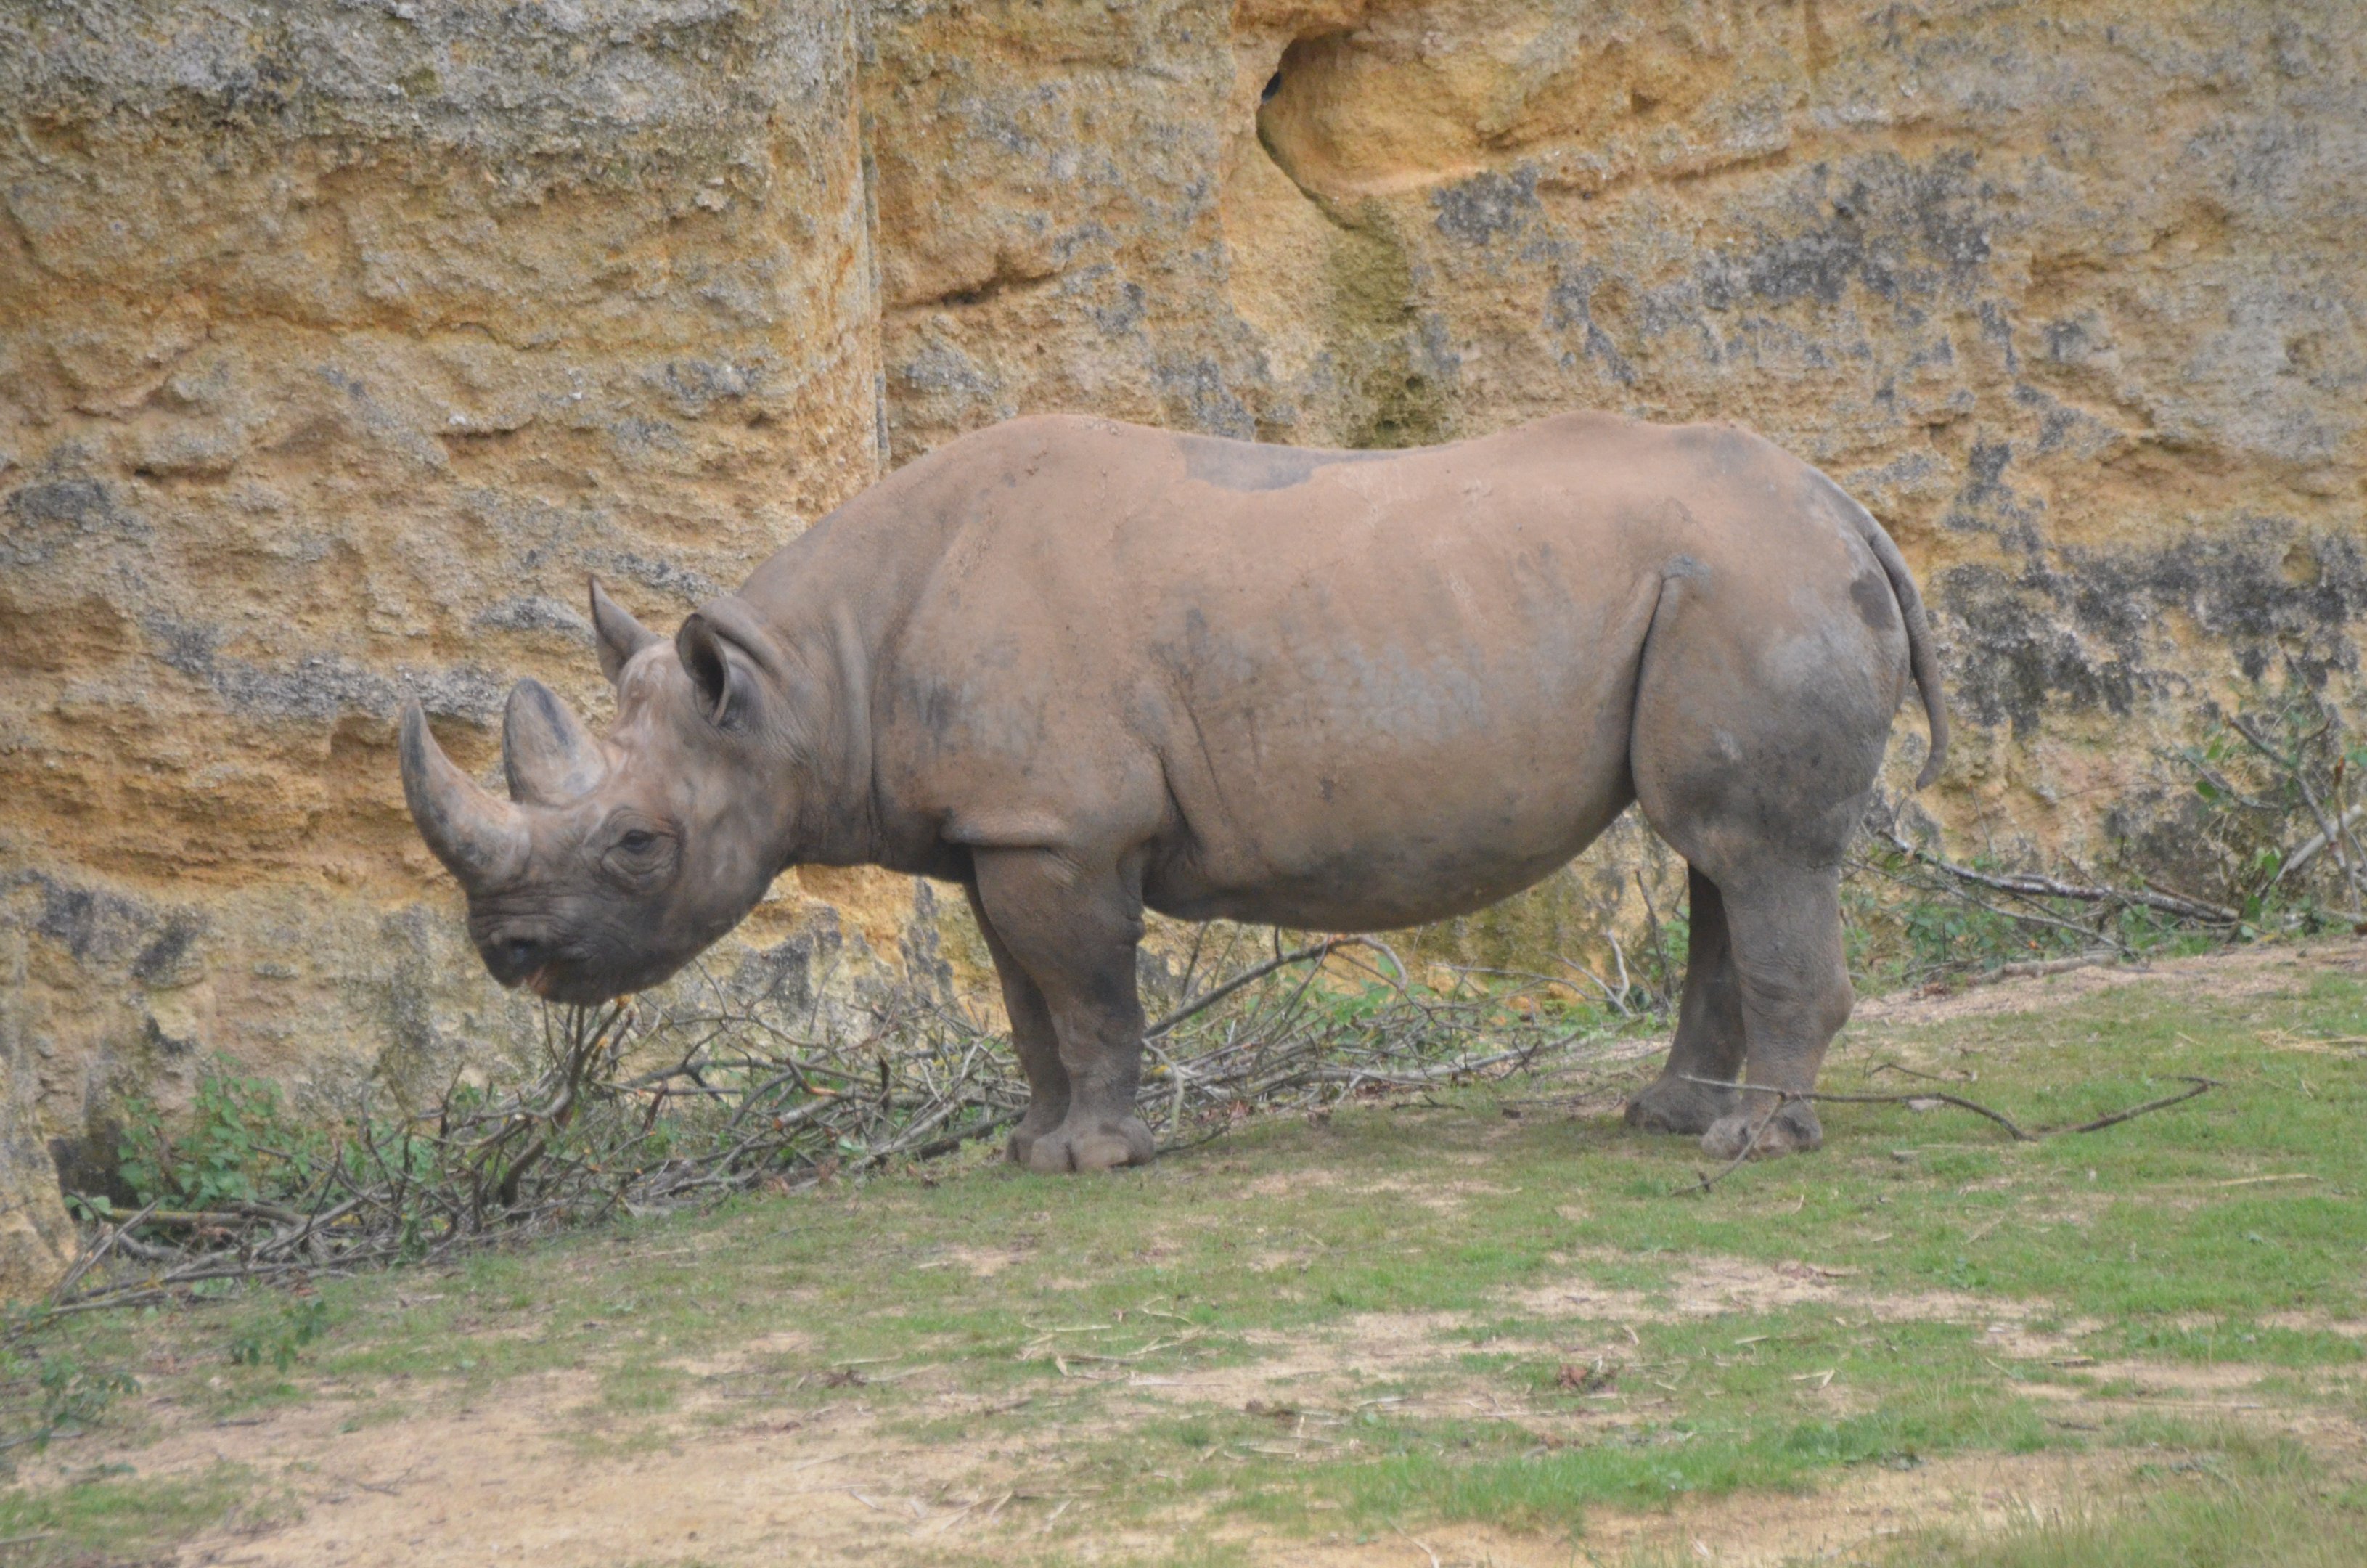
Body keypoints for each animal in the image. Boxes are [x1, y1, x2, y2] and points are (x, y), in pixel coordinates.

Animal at [399, 412, 1946, 1169]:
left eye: (636, 844)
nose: (509, 957)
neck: (797, 682)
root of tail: (1848, 510)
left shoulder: (1063, 826)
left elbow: (1087, 997)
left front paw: (1099, 1159)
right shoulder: (998, 828)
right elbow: (1025, 1005)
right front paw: (1027, 1150)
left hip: (1754, 585)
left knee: (1751, 850)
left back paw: (1754, 1145)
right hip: (1720, 584)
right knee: (1716, 859)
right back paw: (1669, 1119)